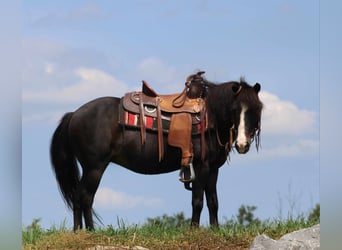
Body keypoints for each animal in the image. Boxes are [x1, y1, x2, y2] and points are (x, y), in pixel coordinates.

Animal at [50, 72, 264, 230]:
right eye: (235, 110)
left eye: (256, 109)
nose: (242, 144)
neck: (210, 116)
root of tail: (74, 115)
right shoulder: (200, 165)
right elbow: (197, 200)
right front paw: (194, 229)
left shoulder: (213, 169)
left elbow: (213, 201)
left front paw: (215, 229)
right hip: (94, 167)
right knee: (84, 196)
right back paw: (88, 231)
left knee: (79, 196)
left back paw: (80, 231)